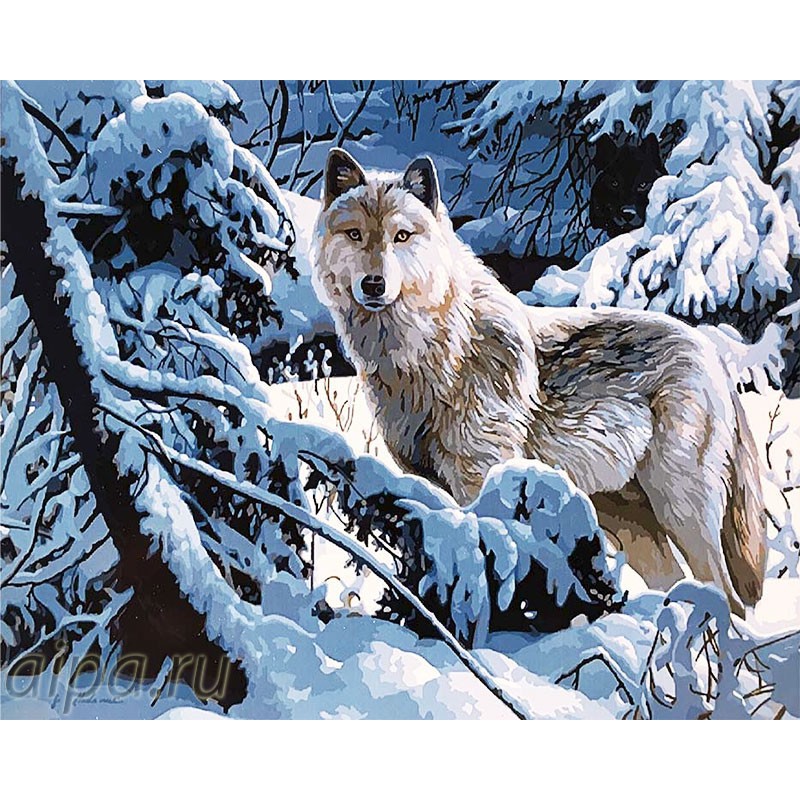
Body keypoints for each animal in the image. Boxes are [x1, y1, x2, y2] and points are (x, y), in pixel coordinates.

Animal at [312, 148, 767, 615]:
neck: (429, 353)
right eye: (355, 235)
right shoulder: (426, 483)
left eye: (401, 236)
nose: (374, 284)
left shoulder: (481, 477)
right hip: (629, 523)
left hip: (680, 512)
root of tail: (711, 352)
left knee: (730, 600)